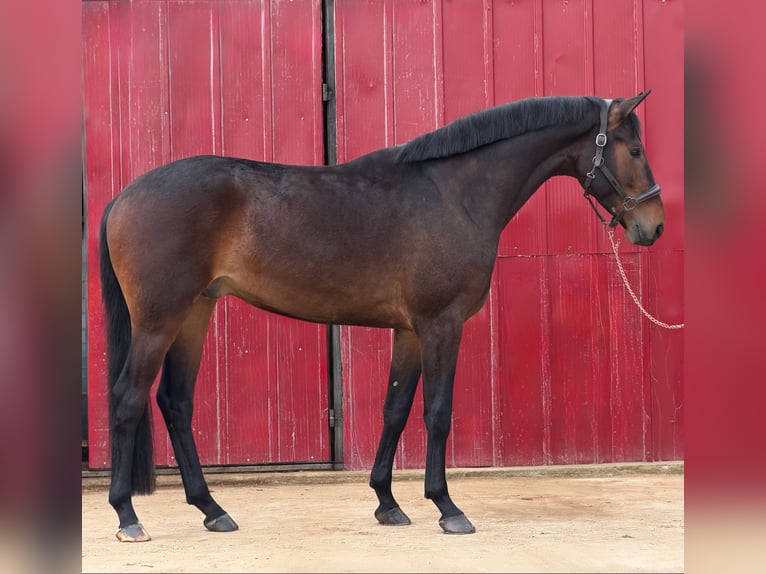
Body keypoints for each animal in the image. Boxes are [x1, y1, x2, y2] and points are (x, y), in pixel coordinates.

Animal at [99, 91, 665, 542]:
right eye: (634, 150)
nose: (653, 226)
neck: (454, 193)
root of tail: (124, 195)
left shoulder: (409, 332)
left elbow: (395, 410)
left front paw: (387, 504)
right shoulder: (441, 325)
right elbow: (437, 412)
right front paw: (447, 507)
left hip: (195, 313)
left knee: (175, 403)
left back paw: (212, 509)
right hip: (158, 321)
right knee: (129, 399)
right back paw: (127, 516)